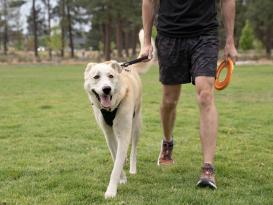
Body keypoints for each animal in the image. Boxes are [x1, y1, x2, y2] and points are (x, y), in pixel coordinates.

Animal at [83, 29, 155, 198]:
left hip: (136, 124)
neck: (111, 108)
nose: (106, 89)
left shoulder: (124, 132)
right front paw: (122, 178)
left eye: (111, 76)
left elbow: (116, 165)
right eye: (96, 77)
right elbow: (115, 156)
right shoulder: (108, 133)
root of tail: (128, 67)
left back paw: (133, 168)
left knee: (134, 148)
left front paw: (111, 191)